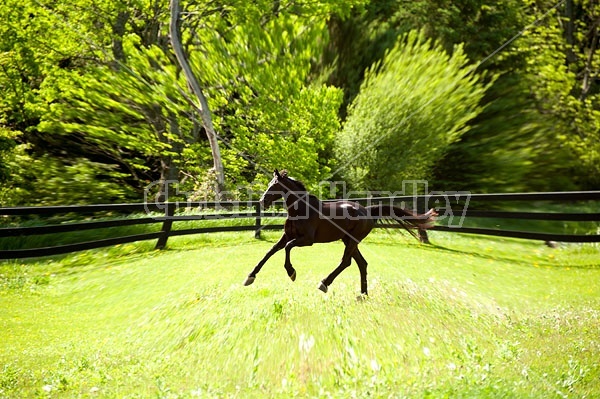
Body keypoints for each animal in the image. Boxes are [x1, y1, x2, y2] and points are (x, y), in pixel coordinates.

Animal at [244, 170, 436, 296]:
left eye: (274, 185)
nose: (262, 201)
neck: (301, 210)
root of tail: (367, 211)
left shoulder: (306, 240)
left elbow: (287, 248)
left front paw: (291, 273)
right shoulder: (287, 236)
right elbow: (270, 251)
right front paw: (250, 277)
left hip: (351, 241)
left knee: (346, 262)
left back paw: (324, 284)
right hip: (349, 241)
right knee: (362, 264)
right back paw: (363, 295)